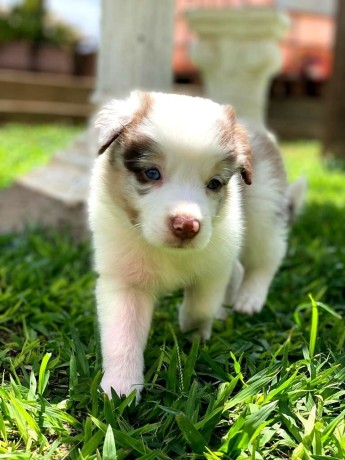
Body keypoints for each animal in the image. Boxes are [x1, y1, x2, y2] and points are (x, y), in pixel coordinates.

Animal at [89, 90, 304, 398]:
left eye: (214, 183)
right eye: (151, 173)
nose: (187, 226)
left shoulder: (213, 266)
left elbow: (199, 308)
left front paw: (195, 335)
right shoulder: (123, 280)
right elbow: (123, 336)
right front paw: (120, 389)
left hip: (262, 212)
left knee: (266, 258)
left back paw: (249, 299)